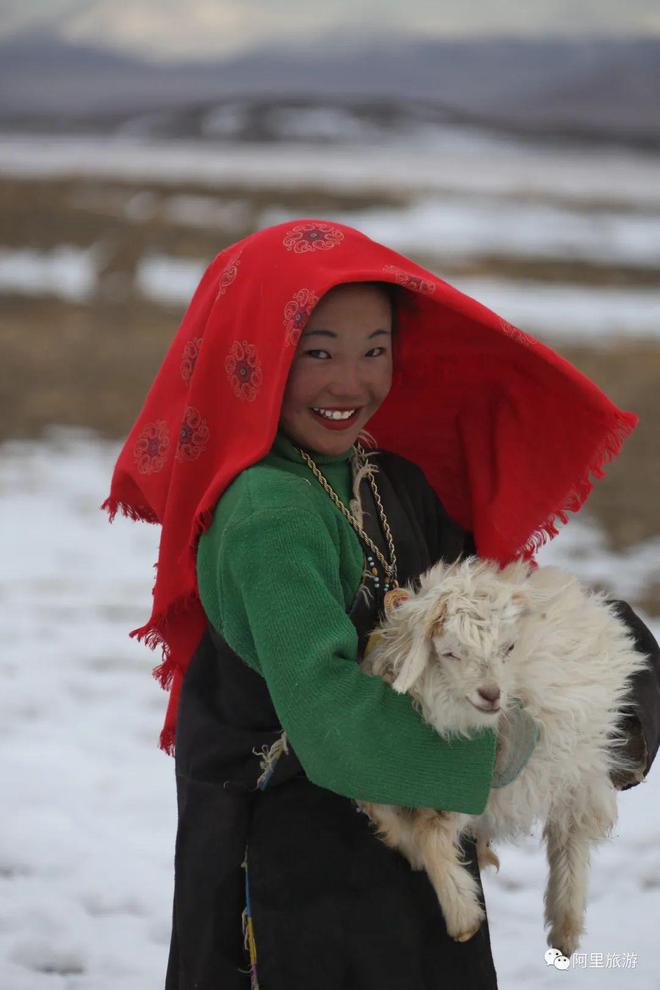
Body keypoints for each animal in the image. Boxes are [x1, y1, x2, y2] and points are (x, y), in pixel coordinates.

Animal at [358, 556, 648, 956]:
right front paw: (417, 855)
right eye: (450, 652)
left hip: (576, 766)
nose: (491, 694)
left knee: (570, 838)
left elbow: (430, 833)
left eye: (509, 648)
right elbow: (388, 808)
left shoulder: (485, 779)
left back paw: (566, 928)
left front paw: (462, 918)